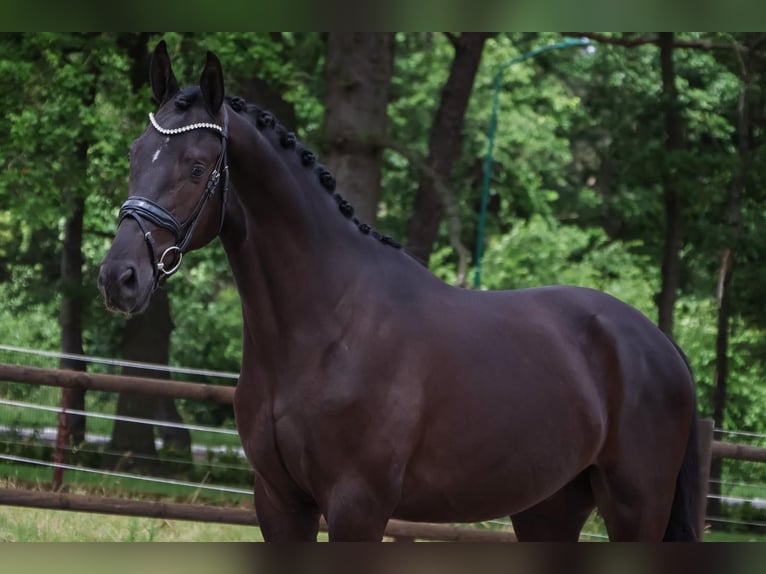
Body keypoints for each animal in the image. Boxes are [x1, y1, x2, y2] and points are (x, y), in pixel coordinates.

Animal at [98, 41, 701, 542]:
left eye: (197, 167)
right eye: (134, 154)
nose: (119, 277)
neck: (326, 326)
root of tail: (660, 343)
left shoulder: (357, 507)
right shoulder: (279, 502)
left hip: (635, 509)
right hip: (548, 510)